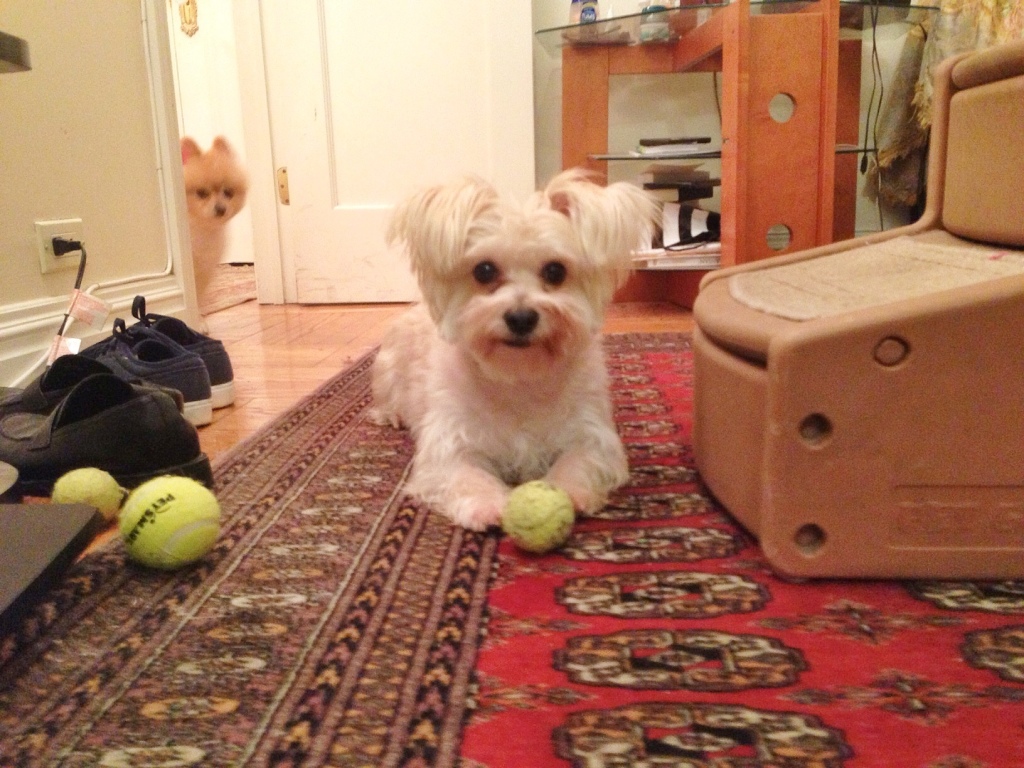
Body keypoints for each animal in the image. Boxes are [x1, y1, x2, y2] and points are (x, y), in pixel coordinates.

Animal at [372, 168, 659, 532]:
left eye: (555, 270)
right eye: (484, 270)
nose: (521, 318)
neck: (518, 377)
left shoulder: (592, 435)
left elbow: (579, 461)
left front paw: (567, 490)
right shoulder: (448, 445)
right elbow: (466, 475)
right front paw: (485, 503)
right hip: (387, 369)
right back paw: (391, 414)